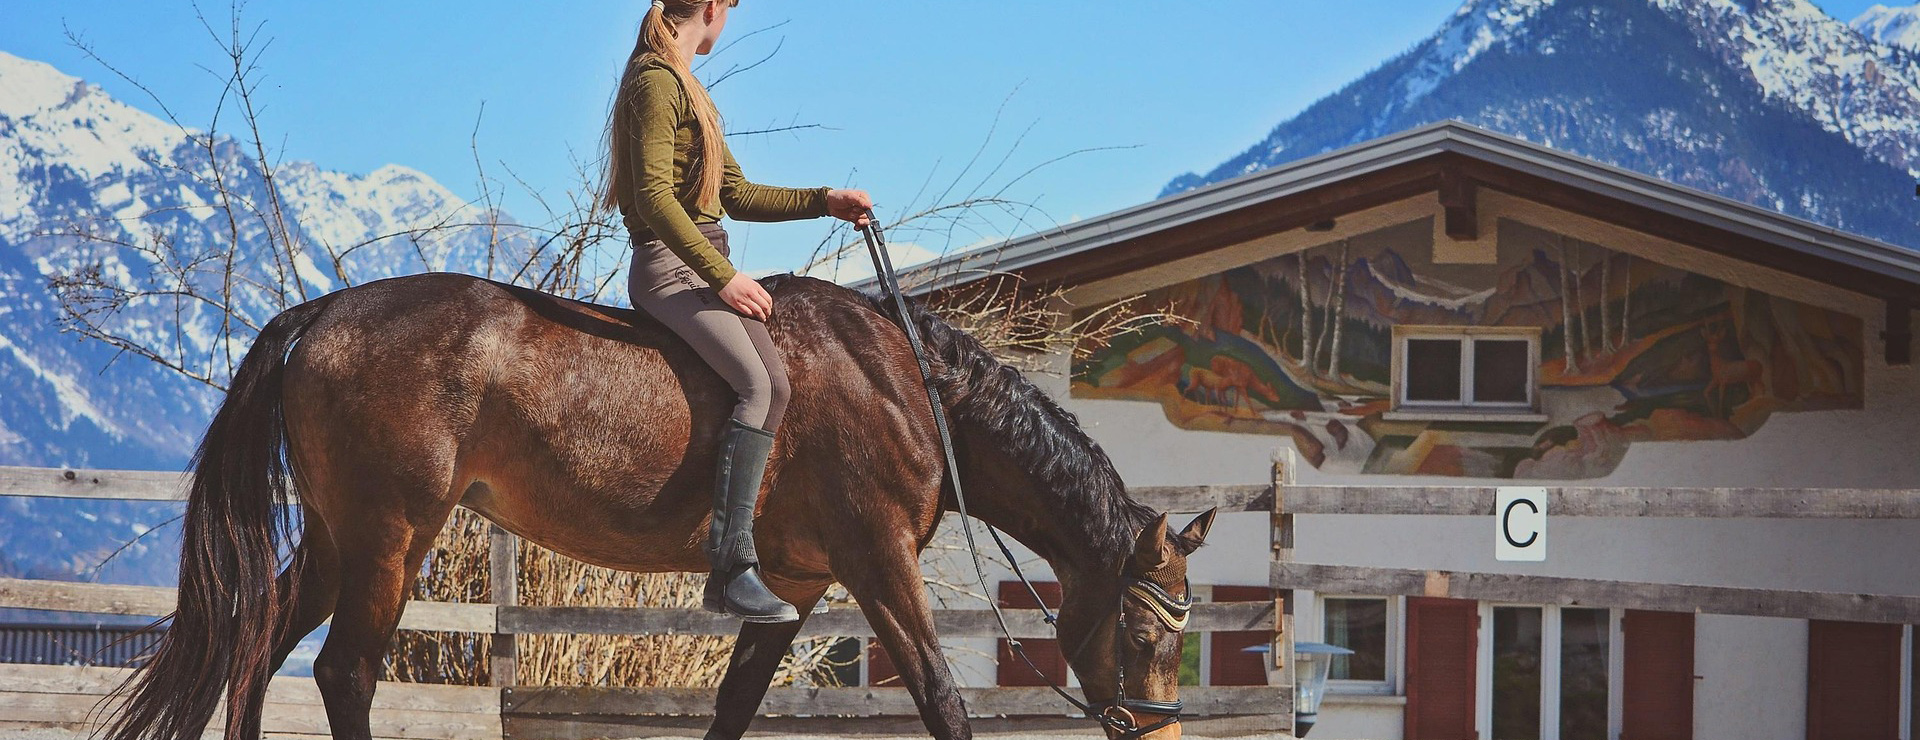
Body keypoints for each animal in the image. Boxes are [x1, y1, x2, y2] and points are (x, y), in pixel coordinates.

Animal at [101, 271, 1218, 740]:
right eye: (1142, 632)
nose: (1156, 732)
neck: (910, 384)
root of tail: (329, 312)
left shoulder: (797, 583)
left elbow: (733, 708)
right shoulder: (877, 559)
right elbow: (942, 697)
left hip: (340, 541)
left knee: (254, 645)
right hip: (388, 537)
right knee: (343, 672)